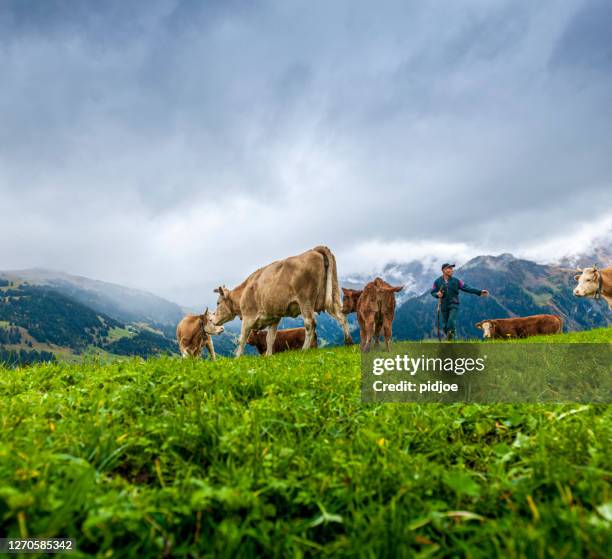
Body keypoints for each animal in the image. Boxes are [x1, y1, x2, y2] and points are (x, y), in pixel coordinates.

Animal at [213, 246, 354, 358]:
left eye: (218, 303)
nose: (213, 320)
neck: (244, 291)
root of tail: (314, 249)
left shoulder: (248, 317)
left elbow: (242, 339)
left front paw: (237, 358)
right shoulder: (274, 318)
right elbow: (270, 339)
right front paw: (269, 356)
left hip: (306, 300)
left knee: (310, 323)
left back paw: (304, 350)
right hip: (333, 293)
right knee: (342, 317)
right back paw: (349, 343)